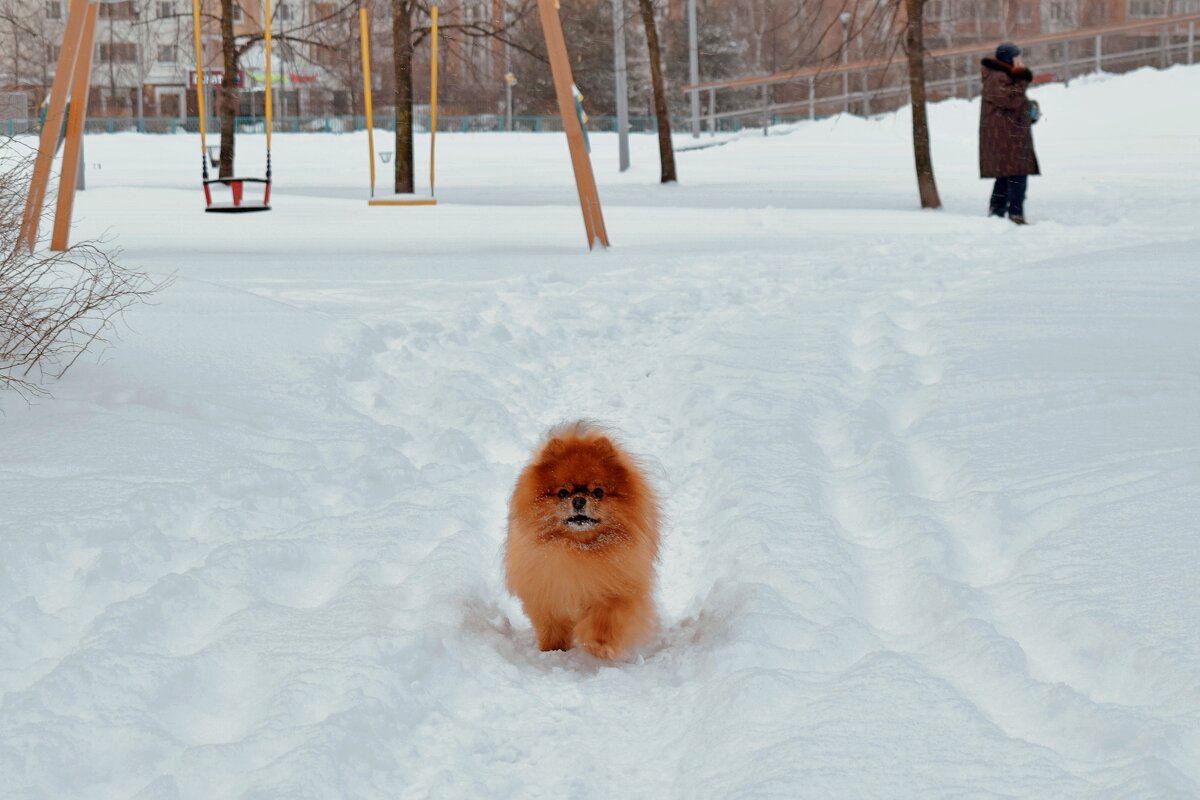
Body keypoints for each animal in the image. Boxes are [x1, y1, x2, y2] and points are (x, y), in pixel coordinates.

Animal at [501, 422, 662, 662]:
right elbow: (552, 625)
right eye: (563, 493)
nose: (578, 500)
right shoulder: (547, 591)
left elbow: (606, 618)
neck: (579, 550)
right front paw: (553, 650)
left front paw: (600, 644)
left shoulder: (616, 590)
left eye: (598, 492)